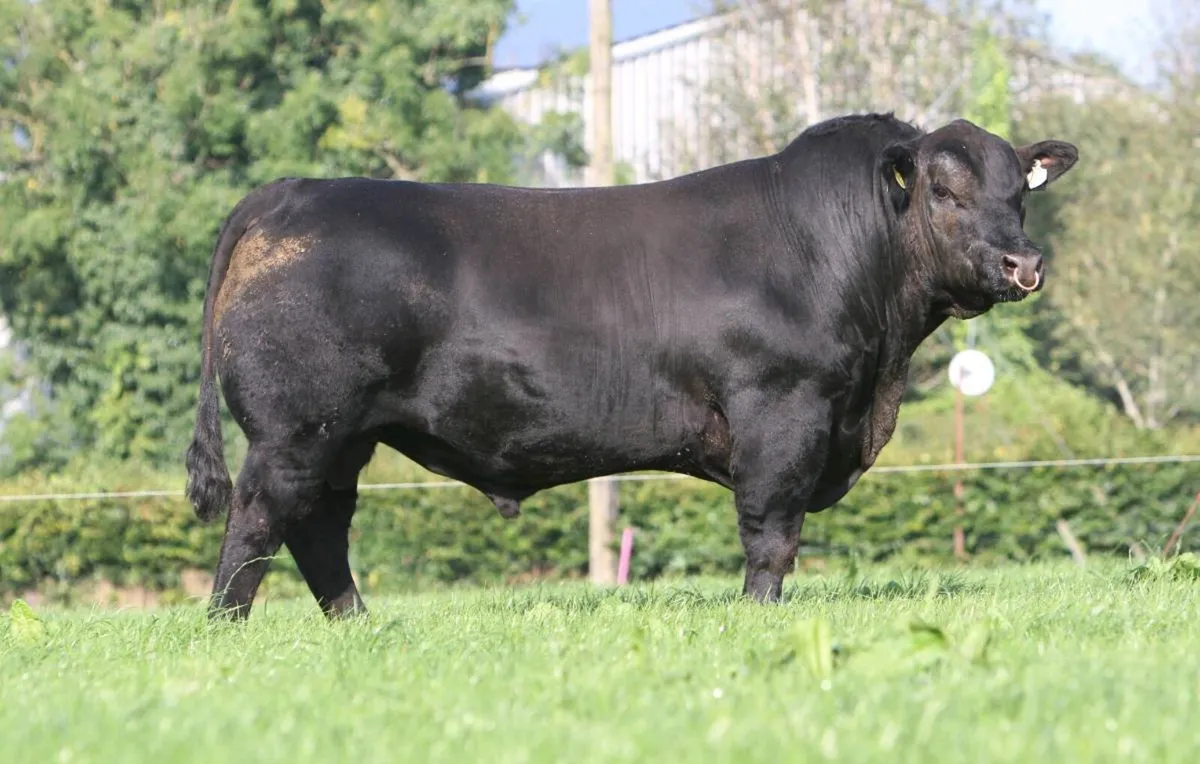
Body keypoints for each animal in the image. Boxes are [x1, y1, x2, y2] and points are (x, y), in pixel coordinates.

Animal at [185, 112, 1078, 620]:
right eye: (943, 191)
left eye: (1019, 192)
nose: (1023, 263)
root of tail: (290, 191)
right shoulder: (783, 408)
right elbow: (772, 529)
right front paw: (759, 616)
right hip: (298, 427)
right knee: (262, 516)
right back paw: (226, 624)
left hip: (343, 436)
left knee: (320, 525)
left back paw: (355, 620)